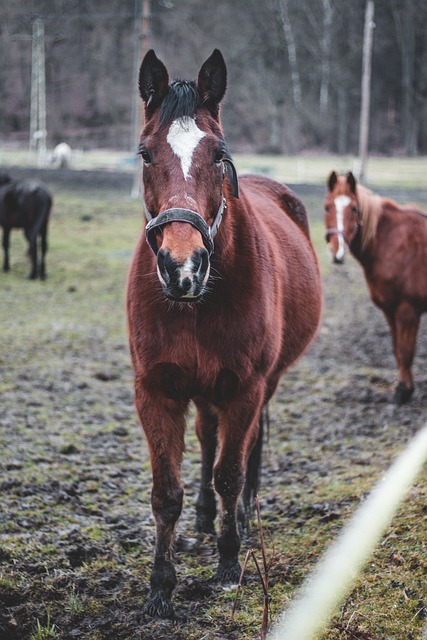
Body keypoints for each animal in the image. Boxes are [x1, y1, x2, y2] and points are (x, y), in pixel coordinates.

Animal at [127, 47, 324, 616]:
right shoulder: (157, 390)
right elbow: (166, 493)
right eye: (145, 154)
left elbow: (232, 472)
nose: (182, 265)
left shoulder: (244, 388)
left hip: (264, 384)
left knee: (247, 451)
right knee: (207, 438)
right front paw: (160, 586)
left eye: (217, 154)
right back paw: (205, 518)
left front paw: (230, 564)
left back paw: (239, 519)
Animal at [324, 170, 427, 404]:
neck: (392, 243)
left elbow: (405, 351)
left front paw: (403, 391)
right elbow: (397, 350)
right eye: (327, 207)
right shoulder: (390, 310)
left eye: (354, 209)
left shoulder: (407, 310)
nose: (337, 252)